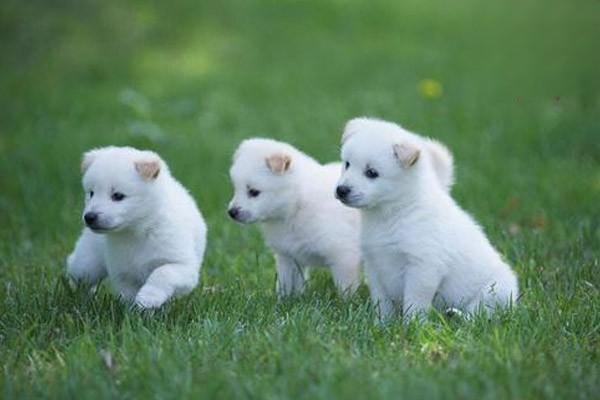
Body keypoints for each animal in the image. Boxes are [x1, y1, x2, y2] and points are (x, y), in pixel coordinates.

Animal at [66, 147, 206, 310]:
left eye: (118, 196)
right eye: (91, 193)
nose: (89, 217)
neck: (138, 230)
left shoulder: (183, 266)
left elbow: (162, 273)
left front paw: (148, 299)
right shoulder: (123, 272)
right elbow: (128, 293)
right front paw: (133, 310)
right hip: (88, 264)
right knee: (78, 271)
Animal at [229, 138, 360, 296]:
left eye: (254, 192)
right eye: (236, 188)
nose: (231, 212)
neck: (297, 203)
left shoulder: (343, 255)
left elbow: (346, 289)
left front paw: (346, 301)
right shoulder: (288, 256)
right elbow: (286, 284)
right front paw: (285, 299)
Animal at [336, 117, 516, 320]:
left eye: (372, 173)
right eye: (347, 164)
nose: (341, 190)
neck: (394, 212)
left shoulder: (423, 266)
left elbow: (415, 303)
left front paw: (412, 324)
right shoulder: (374, 266)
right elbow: (381, 302)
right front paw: (381, 323)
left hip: (494, 292)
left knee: (477, 313)